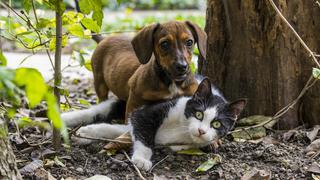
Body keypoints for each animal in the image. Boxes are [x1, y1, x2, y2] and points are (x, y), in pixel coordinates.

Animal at [64, 77, 245, 170]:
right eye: (199, 114)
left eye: (217, 124)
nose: (201, 131)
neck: (183, 129)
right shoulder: (147, 112)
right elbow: (143, 133)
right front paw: (141, 159)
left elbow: (122, 130)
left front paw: (86, 133)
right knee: (98, 110)